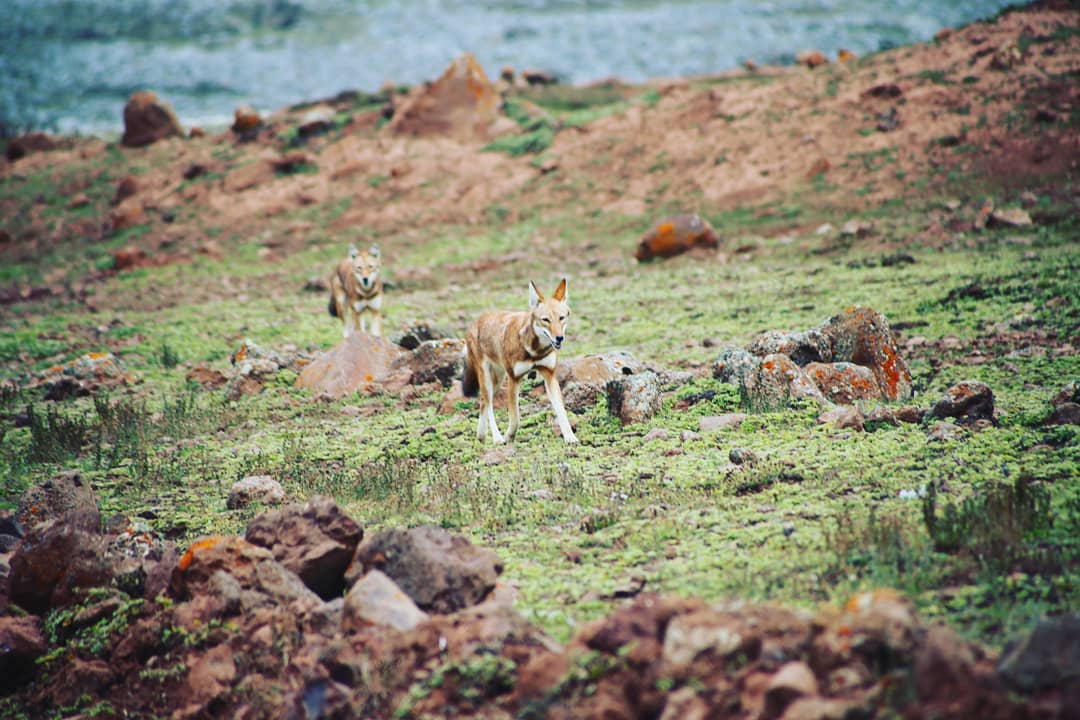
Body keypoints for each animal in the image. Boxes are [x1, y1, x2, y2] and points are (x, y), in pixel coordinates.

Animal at [466, 278, 583, 442]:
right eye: (546, 320)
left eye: (561, 318)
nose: (559, 338)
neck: (534, 351)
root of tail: (475, 321)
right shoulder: (514, 379)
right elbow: (515, 418)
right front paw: (508, 437)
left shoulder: (550, 376)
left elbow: (562, 412)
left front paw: (570, 437)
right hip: (488, 379)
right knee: (488, 405)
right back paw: (497, 438)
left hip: (497, 380)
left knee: (483, 402)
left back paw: (481, 436)